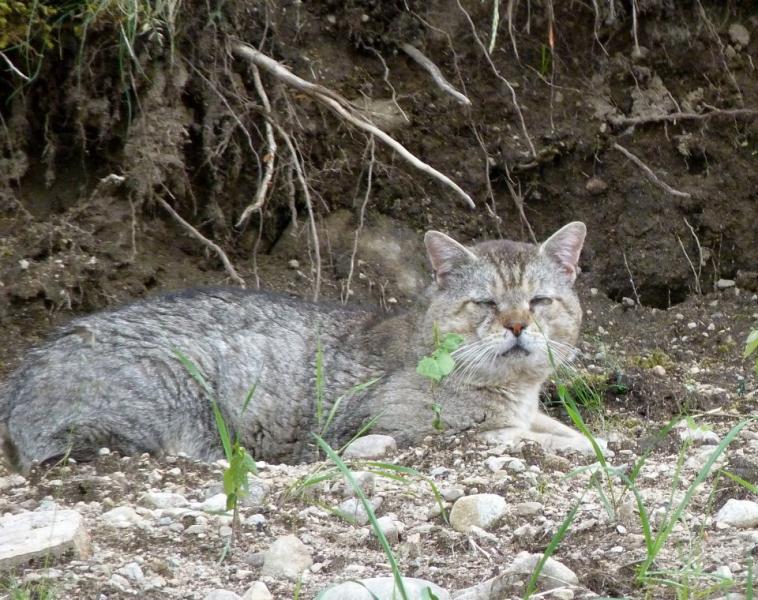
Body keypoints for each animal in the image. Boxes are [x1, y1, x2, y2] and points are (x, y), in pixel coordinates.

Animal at [1, 221, 600, 474]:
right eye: (486, 303)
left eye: (539, 301)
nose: (518, 326)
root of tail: (20, 375)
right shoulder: (410, 429)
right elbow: (530, 438)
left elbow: (572, 432)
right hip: (179, 402)